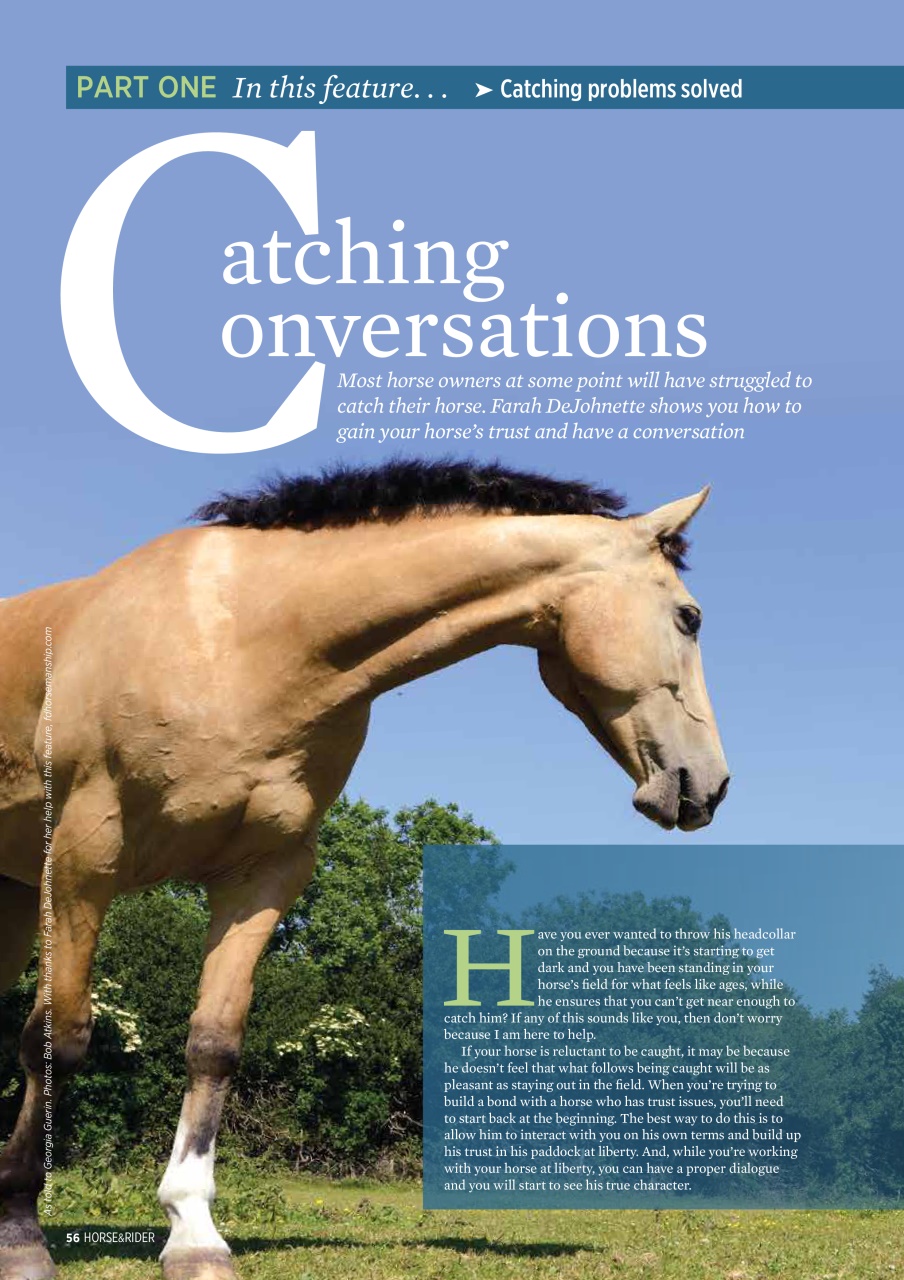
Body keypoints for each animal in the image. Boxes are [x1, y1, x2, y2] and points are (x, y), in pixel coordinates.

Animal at [0, 460, 729, 1280]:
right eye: (689, 618)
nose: (710, 785)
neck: (242, 640)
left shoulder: (262, 876)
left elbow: (213, 1044)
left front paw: (193, 1233)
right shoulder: (83, 860)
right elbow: (56, 1038)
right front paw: (21, 1233)